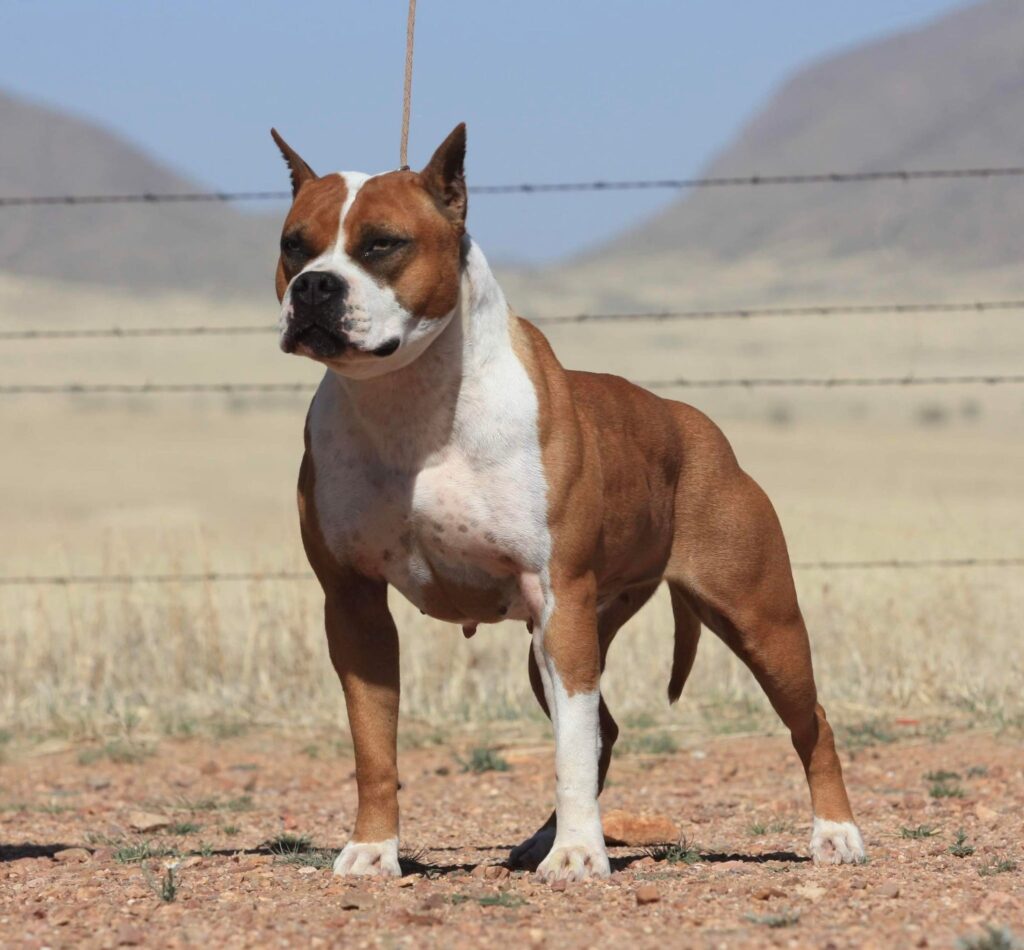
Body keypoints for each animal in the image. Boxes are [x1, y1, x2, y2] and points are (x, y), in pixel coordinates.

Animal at [272, 122, 864, 880]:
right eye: (295, 244)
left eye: (381, 244)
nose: (316, 286)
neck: (409, 403)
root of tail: (698, 426)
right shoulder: (353, 606)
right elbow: (375, 746)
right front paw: (373, 848)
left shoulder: (560, 598)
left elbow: (570, 748)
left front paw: (581, 854)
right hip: (556, 642)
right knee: (604, 728)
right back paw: (539, 840)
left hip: (758, 620)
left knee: (809, 721)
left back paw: (836, 833)